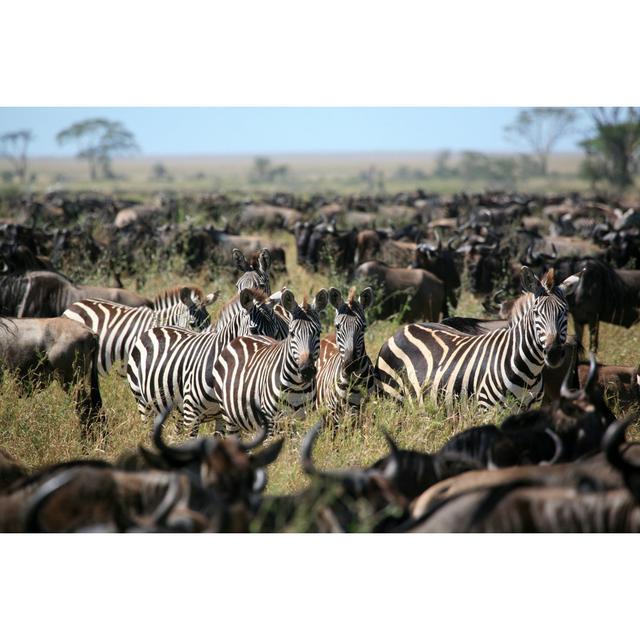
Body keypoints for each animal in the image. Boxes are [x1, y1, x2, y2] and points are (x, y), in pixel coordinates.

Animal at [126, 286, 282, 430]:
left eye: (275, 331)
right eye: (253, 330)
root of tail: (156, 328)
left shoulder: (222, 417)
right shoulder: (191, 414)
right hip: (142, 400)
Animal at [212, 288, 328, 436]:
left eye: (318, 332)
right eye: (292, 333)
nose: (306, 370)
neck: (297, 385)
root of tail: (240, 338)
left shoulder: (302, 420)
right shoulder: (272, 421)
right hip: (229, 417)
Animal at [372, 266, 584, 408]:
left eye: (565, 312)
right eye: (536, 313)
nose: (554, 353)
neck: (529, 371)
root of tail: (404, 329)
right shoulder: (486, 408)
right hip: (394, 397)